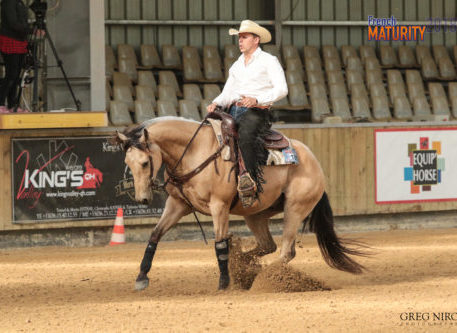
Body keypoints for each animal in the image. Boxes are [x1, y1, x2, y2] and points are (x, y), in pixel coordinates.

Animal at [115, 115, 366, 290]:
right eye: (127, 162)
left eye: (145, 163)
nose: (143, 198)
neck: (195, 151)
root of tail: (314, 162)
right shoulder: (177, 204)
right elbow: (154, 236)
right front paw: (141, 277)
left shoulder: (219, 206)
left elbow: (219, 244)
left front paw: (224, 283)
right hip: (255, 214)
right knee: (269, 246)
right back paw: (246, 266)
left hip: (295, 208)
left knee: (286, 251)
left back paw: (269, 279)